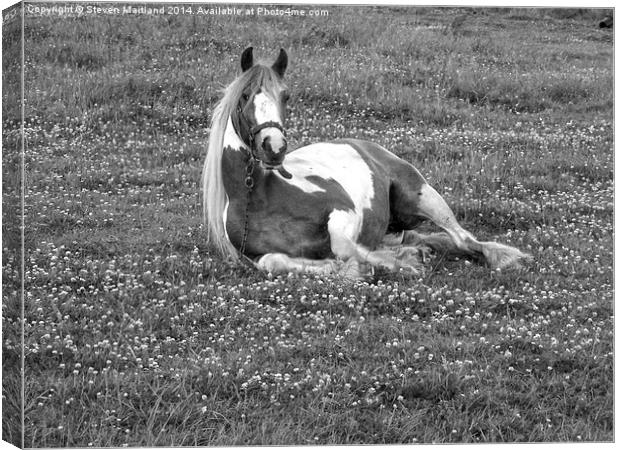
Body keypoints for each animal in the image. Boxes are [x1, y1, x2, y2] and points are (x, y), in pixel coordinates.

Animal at [201, 46, 532, 278]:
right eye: (245, 96)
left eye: (286, 96)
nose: (274, 146)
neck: (259, 197)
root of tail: (368, 145)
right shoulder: (252, 257)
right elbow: (273, 261)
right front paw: (342, 268)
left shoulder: (343, 209)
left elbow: (344, 247)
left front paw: (397, 265)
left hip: (423, 196)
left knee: (464, 240)